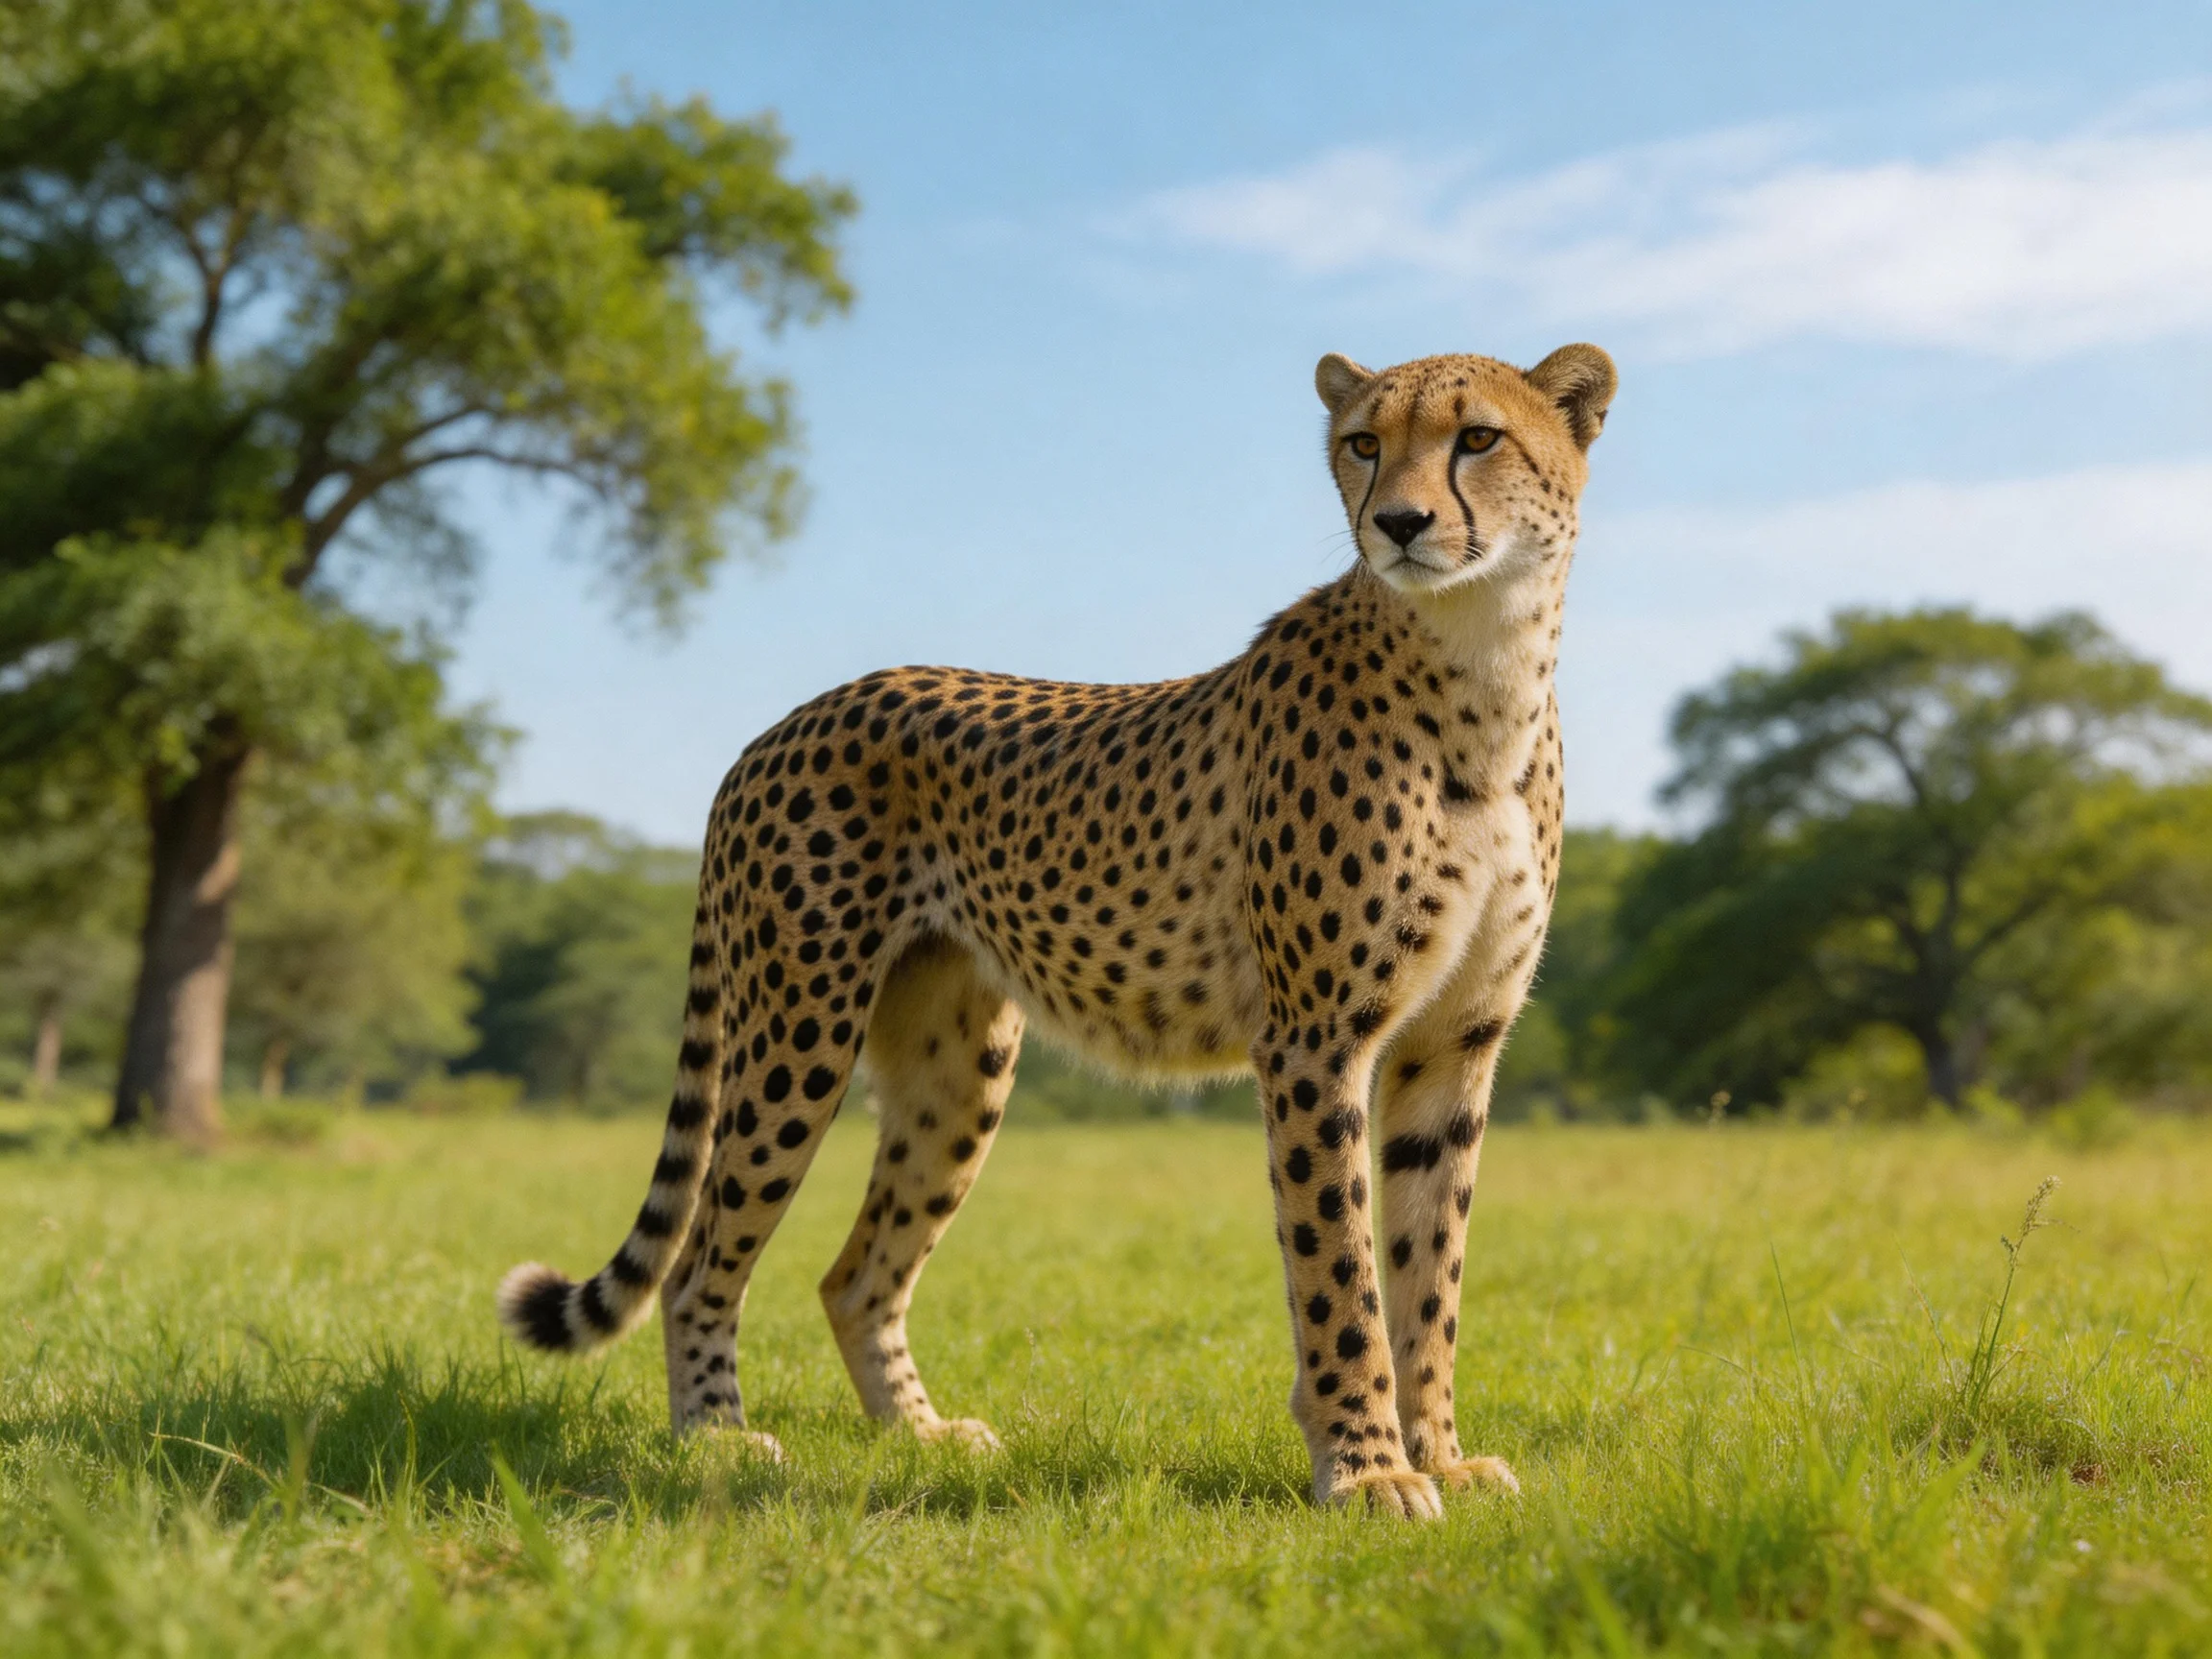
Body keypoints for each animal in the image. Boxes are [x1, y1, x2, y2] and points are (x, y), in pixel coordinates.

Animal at [498, 342, 1617, 1520]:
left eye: (1478, 438)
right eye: (1364, 442)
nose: (1398, 521)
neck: (1484, 667)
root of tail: (780, 726)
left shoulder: (1453, 1048)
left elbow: (1427, 1272)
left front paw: (1438, 1454)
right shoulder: (1316, 1041)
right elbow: (1341, 1269)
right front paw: (1366, 1470)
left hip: (956, 1070)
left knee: (853, 1274)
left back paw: (923, 1437)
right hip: (797, 1035)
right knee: (702, 1254)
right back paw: (714, 1439)